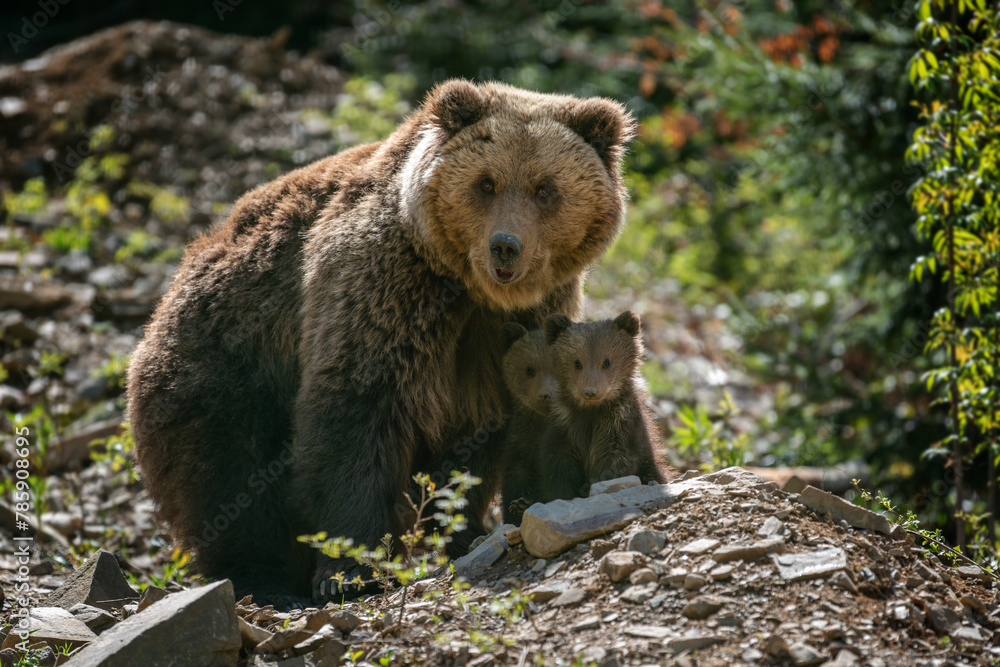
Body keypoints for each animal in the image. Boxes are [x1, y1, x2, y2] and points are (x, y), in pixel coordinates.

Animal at [499, 323, 557, 524]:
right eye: (530, 369)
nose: (546, 395)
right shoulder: (520, 440)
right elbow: (515, 475)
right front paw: (516, 507)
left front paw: (526, 503)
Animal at [537, 310, 668, 501]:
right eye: (577, 362)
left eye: (606, 362)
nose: (591, 391)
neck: (592, 410)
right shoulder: (565, 424)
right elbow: (559, 464)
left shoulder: (619, 423)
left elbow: (616, 461)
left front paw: (590, 488)